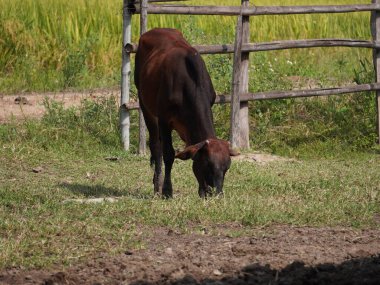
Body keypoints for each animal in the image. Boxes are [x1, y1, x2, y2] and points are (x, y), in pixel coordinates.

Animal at [133, 28, 235, 197]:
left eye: (226, 168)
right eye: (207, 165)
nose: (216, 194)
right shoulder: (164, 119)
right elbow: (168, 153)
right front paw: (167, 190)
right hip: (145, 104)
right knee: (156, 145)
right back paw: (157, 185)